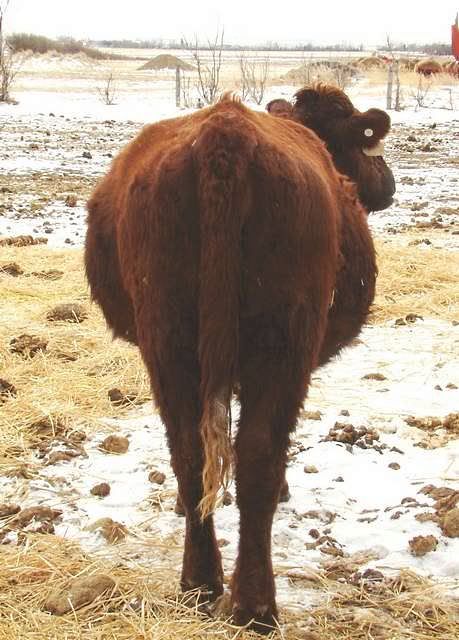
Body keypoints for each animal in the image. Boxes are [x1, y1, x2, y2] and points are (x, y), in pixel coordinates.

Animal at [85, 85, 395, 633]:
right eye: (364, 146)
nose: (389, 184)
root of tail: (225, 133)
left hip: (168, 341)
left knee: (189, 453)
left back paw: (200, 584)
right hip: (283, 346)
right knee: (259, 457)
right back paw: (255, 607)